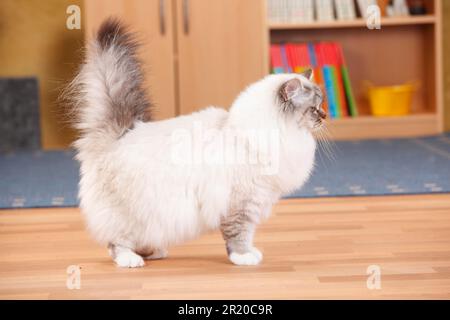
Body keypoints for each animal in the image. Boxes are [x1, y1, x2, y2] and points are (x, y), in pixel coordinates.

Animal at [68, 18, 326, 268]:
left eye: (321, 106)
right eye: (314, 109)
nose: (324, 116)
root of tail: (119, 135)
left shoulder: (254, 201)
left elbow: (247, 235)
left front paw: (251, 252)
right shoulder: (241, 205)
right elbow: (239, 235)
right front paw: (244, 257)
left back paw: (155, 252)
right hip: (128, 215)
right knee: (116, 243)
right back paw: (131, 260)